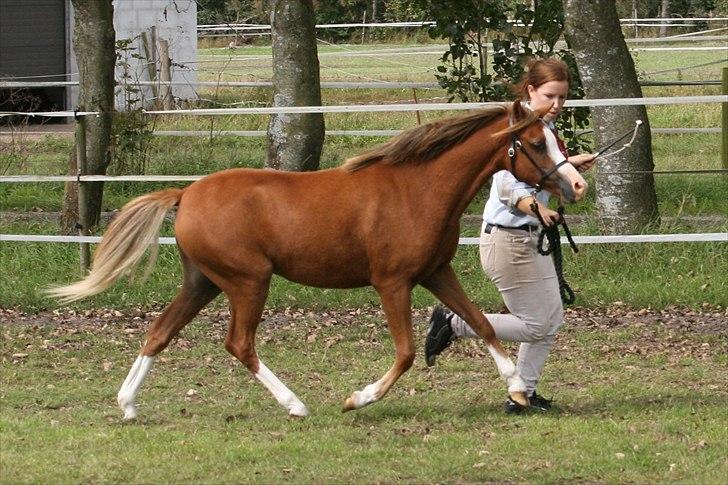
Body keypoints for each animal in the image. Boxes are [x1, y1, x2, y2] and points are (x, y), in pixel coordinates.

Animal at [49, 101, 587, 420]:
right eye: (535, 143)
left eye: (555, 137)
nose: (576, 184)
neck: (417, 189)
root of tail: (186, 194)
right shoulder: (392, 282)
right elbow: (407, 352)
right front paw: (358, 398)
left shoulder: (436, 272)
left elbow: (482, 322)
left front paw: (517, 387)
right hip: (248, 281)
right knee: (238, 343)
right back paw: (296, 405)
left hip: (203, 281)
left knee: (160, 331)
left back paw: (128, 404)